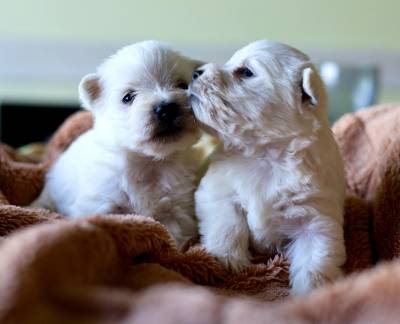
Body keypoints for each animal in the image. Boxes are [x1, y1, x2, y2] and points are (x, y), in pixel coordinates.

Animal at [33, 39, 203, 248]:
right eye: (128, 97)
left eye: (183, 85)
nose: (167, 108)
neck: (148, 162)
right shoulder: (101, 202)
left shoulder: (178, 208)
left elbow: (172, 235)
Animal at [189, 39, 346, 294]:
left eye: (246, 72)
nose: (195, 72)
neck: (266, 155)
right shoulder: (216, 192)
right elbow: (229, 225)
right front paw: (230, 261)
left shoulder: (317, 219)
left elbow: (315, 263)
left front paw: (309, 295)